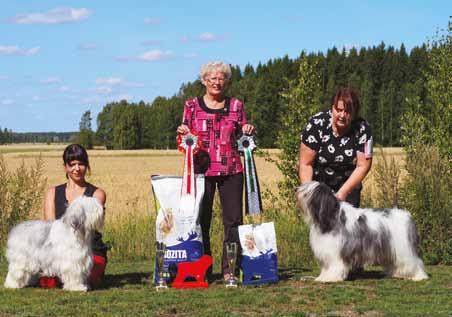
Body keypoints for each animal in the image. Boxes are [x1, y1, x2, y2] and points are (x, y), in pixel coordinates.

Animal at [294, 180, 430, 282]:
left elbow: (335, 266)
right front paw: (323, 277)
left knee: (414, 262)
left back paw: (419, 276)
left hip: (403, 248)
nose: (296, 189)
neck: (330, 218)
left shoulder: (336, 251)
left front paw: (331, 278)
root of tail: (407, 215)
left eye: (306, 192)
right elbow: (327, 268)